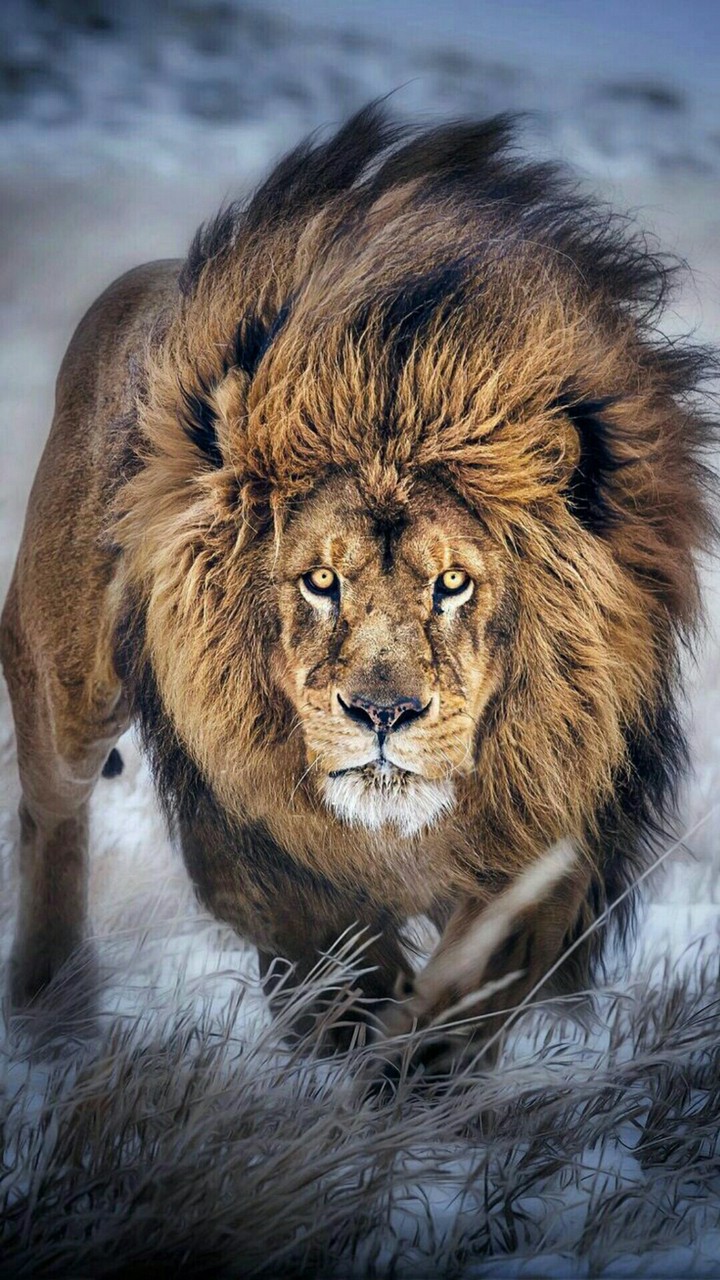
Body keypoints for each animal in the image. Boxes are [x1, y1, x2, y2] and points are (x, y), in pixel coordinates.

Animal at [1, 106, 716, 1068]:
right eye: (319, 580)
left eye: (452, 581)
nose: (383, 714)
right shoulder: (254, 836)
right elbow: (338, 964)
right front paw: (350, 1051)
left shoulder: (552, 828)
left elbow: (467, 992)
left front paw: (405, 1072)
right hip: (66, 683)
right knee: (51, 815)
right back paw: (53, 1014)